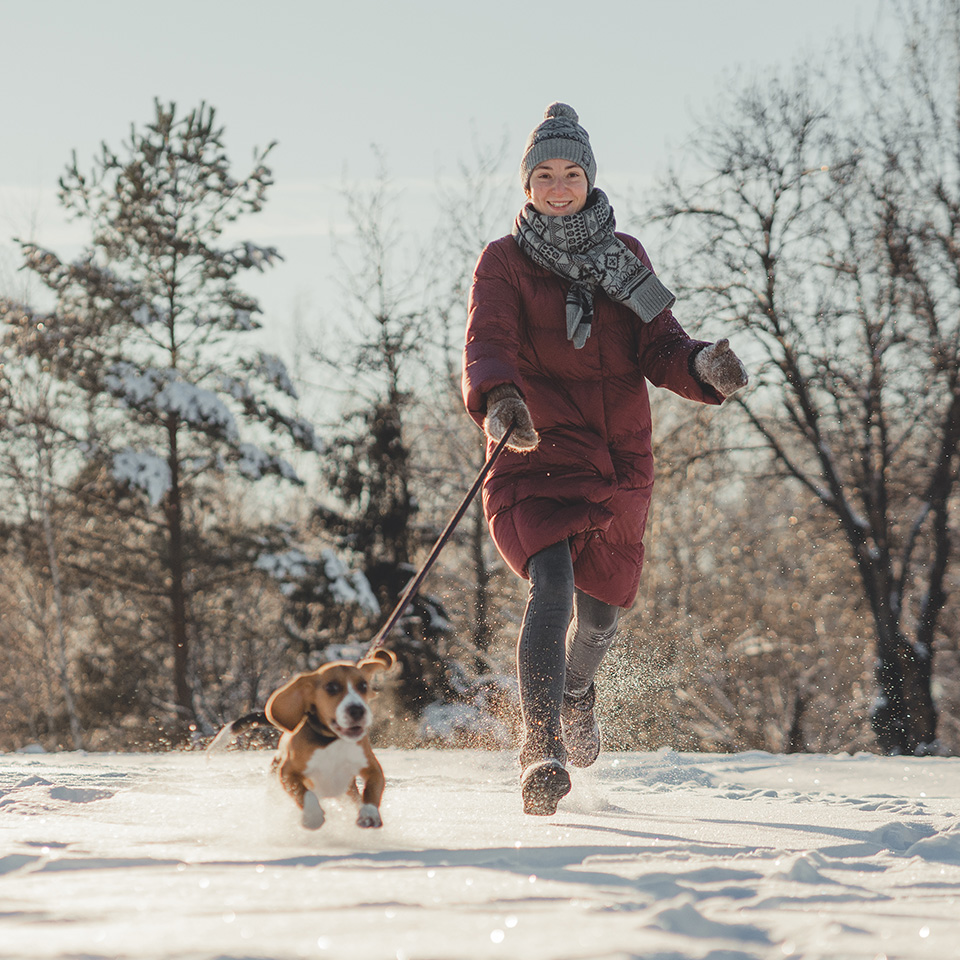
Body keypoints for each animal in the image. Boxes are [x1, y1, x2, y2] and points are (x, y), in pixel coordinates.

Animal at [209, 648, 394, 828]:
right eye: (331, 687)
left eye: (363, 685)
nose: (357, 710)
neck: (331, 741)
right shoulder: (287, 773)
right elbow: (304, 793)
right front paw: (313, 815)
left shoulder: (372, 768)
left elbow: (372, 789)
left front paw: (369, 814)